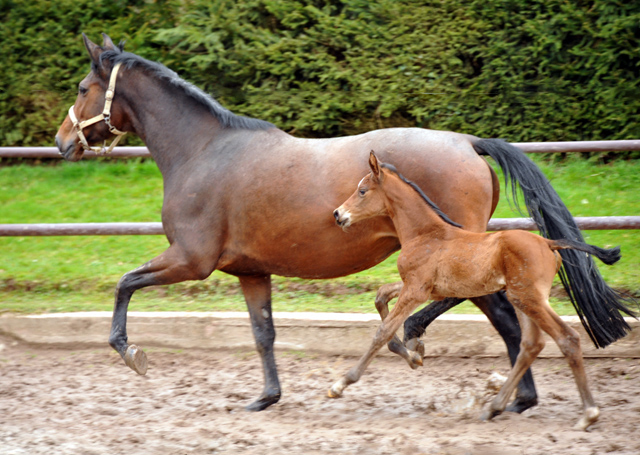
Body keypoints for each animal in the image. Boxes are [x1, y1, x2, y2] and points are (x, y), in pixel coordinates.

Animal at [330, 152, 620, 432]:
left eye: (362, 190)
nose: (337, 214)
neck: (425, 233)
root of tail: (549, 243)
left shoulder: (416, 291)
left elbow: (383, 330)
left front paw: (341, 384)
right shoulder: (424, 289)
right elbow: (380, 297)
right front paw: (414, 355)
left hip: (529, 298)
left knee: (567, 338)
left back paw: (588, 414)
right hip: (522, 298)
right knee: (531, 345)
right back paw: (494, 408)